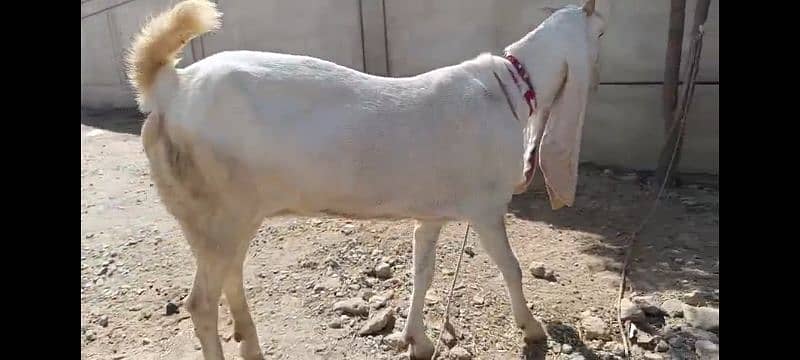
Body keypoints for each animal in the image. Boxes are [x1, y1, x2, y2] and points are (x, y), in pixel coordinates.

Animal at [128, 1, 608, 358]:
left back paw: (251, 346)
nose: (602, 81)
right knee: (201, 304)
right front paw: (532, 328)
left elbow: (423, 272)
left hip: (216, 214)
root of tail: (171, 86)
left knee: (230, 274)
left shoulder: (432, 212)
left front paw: (418, 339)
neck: (512, 85)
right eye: (601, 33)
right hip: (219, 209)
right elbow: (510, 267)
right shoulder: (486, 207)